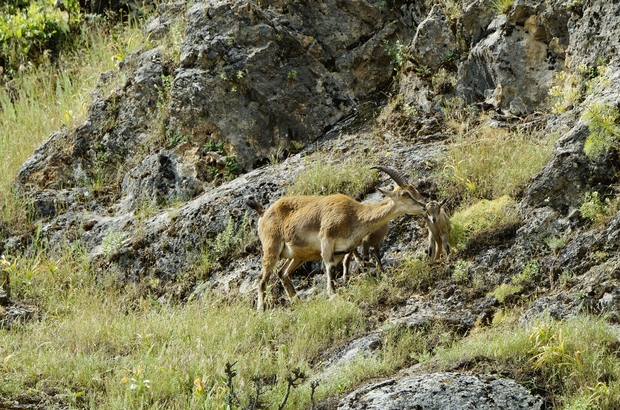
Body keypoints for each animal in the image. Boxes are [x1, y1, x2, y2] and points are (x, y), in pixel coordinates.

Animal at [246, 165, 426, 310]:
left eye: (415, 190)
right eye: (405, 194)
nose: (425, 205)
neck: (354, 215)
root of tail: (264, 214)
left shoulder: (341, 251)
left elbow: (336, 268)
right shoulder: (327, 240)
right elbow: (330, 268)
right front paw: (332, 295)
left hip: (297, 256)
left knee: (282, 273)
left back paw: (298, 303)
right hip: (271, 248)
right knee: (262, 278)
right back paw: (261, 309)